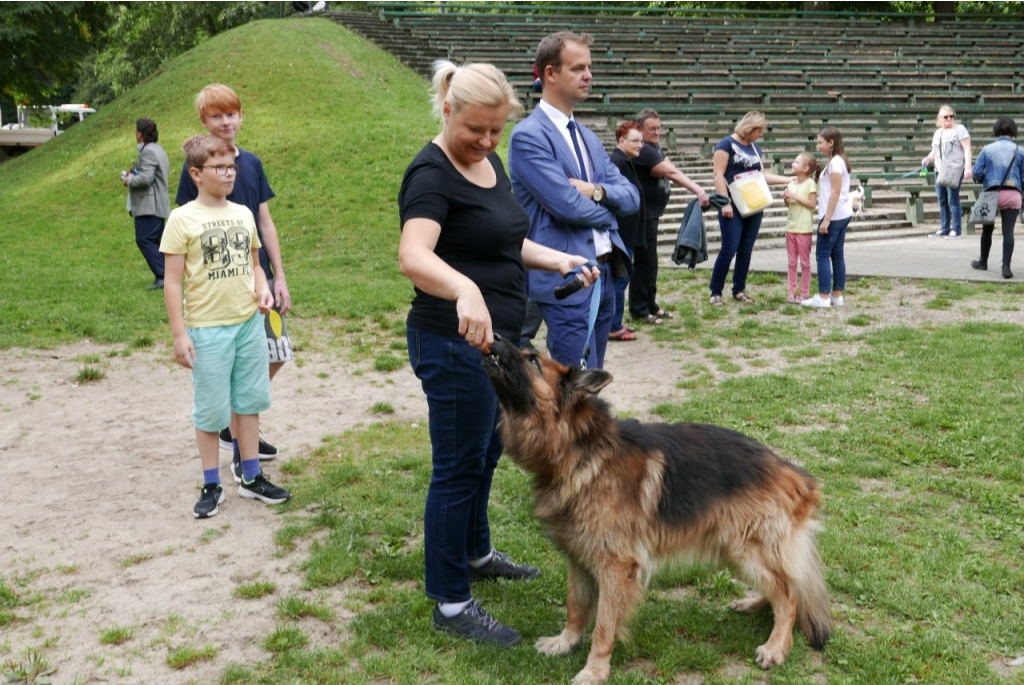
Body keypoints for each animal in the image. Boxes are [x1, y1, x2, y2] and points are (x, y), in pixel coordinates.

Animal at [481, 337, 831, 683]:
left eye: (532, 360)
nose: (494, 339)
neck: (581, 449)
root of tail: (796, 475)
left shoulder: (616, 566)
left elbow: (604, 626)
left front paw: (595, 670)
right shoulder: (578, 556)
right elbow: (575, 605)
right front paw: (565, 642)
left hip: (746, 551)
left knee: (790, 595)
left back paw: (776, 646)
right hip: (737, 552)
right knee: (783, 585)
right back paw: (755, 605)